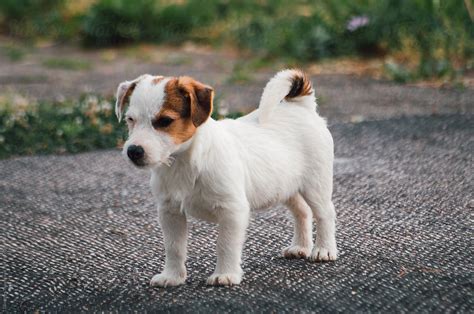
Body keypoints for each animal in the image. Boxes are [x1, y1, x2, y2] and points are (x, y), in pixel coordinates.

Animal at [115, 68, 336, 288]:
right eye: (130, 119)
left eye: (165, 121)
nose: (133, 151)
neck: (185, 162)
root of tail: (301, 106)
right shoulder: (170, 211)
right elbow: (174, 247)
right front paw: (172, 276)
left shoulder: (232, 210)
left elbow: (225, 244)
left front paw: (226, 274)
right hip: (285, 187)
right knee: (302, 212)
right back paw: (300, 247)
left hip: (315, 185)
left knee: (325, 213)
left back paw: (324, 249)